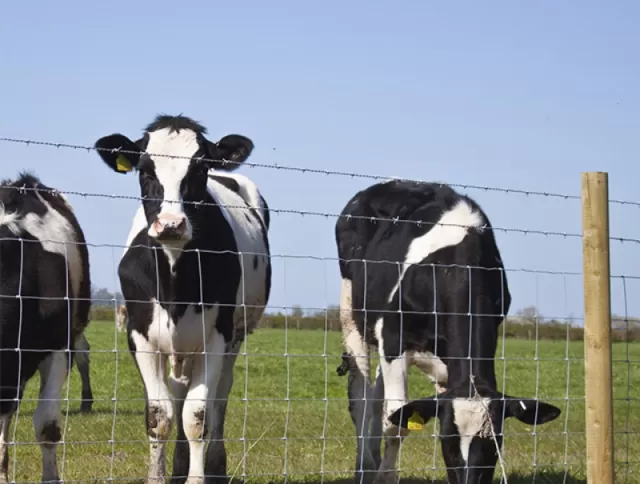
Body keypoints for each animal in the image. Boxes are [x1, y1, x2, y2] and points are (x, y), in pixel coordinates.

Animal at [92, 114, 270, 484]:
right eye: (145, 170)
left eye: (200, 170)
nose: (171, 224)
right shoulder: (139, 335)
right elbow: (159, 414)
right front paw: (159, 475)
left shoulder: (216, 336)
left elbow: (198, 415)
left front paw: (198, 475)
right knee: (178, 392)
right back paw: (178, 463)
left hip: (235, 335)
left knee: (219, 396)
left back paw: (215, 464)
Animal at [336, 180, 560, 484]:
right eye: (447, 441)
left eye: (494, 445)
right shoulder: (394, 336)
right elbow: (397, 421)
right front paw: (386, 477)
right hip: (352, 314)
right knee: (361, 398)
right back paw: (365, 467)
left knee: (376, 398)